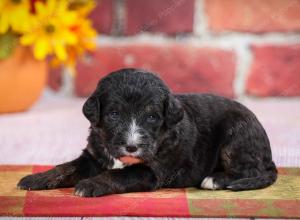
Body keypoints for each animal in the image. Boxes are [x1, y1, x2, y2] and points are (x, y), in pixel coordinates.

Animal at [17, 68, 278, 197]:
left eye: (152, 117)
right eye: (113, 114)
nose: (132, 147)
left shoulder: (150, 171)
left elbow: (117, 175)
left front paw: (90, 185)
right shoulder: (91, 157)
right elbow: (66, 167)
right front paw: (36, 178)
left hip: (237, 136)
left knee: (250, 170)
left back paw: (215, 179)